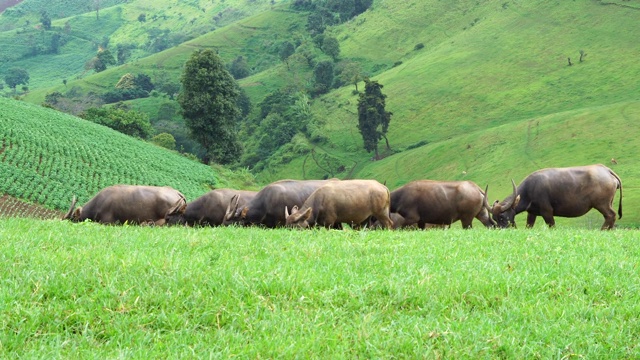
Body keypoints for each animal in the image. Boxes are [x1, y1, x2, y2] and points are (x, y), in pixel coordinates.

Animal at [492, 165, 624, 229]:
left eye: (502, 217)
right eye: (494, 218)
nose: (501, 229)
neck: (529, 190)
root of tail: (606, 170)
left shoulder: (547, 212)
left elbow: (552, 226)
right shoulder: (532, 213)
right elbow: (529, 226)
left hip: (602, 204)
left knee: (611, 215)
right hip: (608, 202)